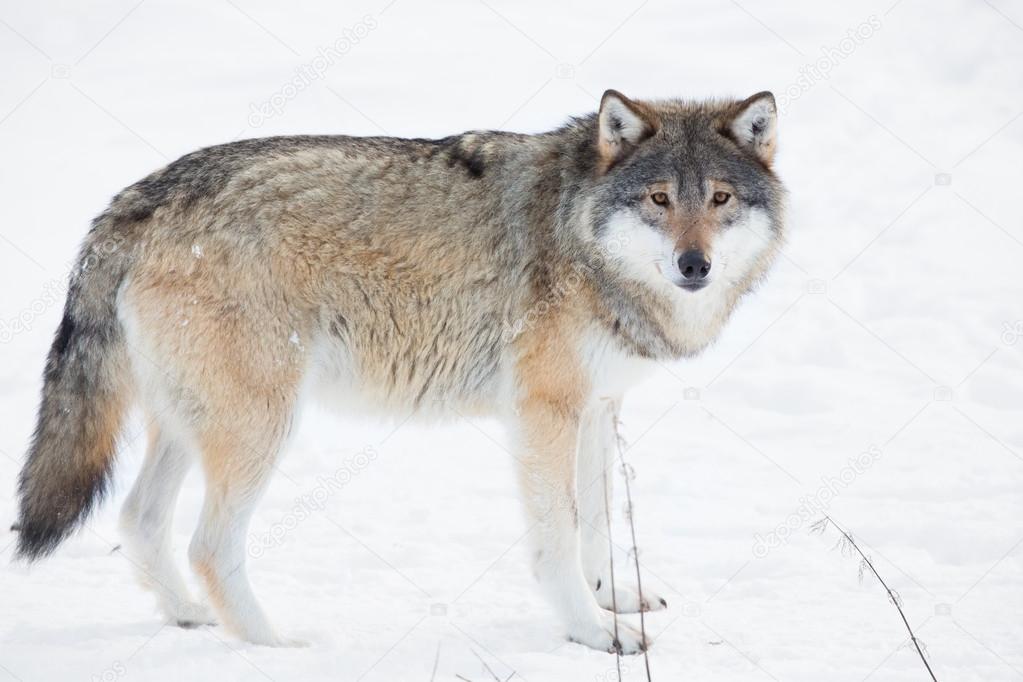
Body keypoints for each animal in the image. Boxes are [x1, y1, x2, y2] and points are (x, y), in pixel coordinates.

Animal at [14, 87, 781, 654]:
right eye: (659, 198)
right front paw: (591, 632)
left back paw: (187, 618)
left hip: (189, 423)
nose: (694, 265)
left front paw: (612, 599)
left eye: (719, 198)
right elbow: (559, 535)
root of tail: (130, 203)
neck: (580, 234)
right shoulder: (544, 411)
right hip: (260, 424)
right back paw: (274, 645)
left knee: (140, 520)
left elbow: (597, 521)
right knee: (207, 544)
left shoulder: (596, 407)